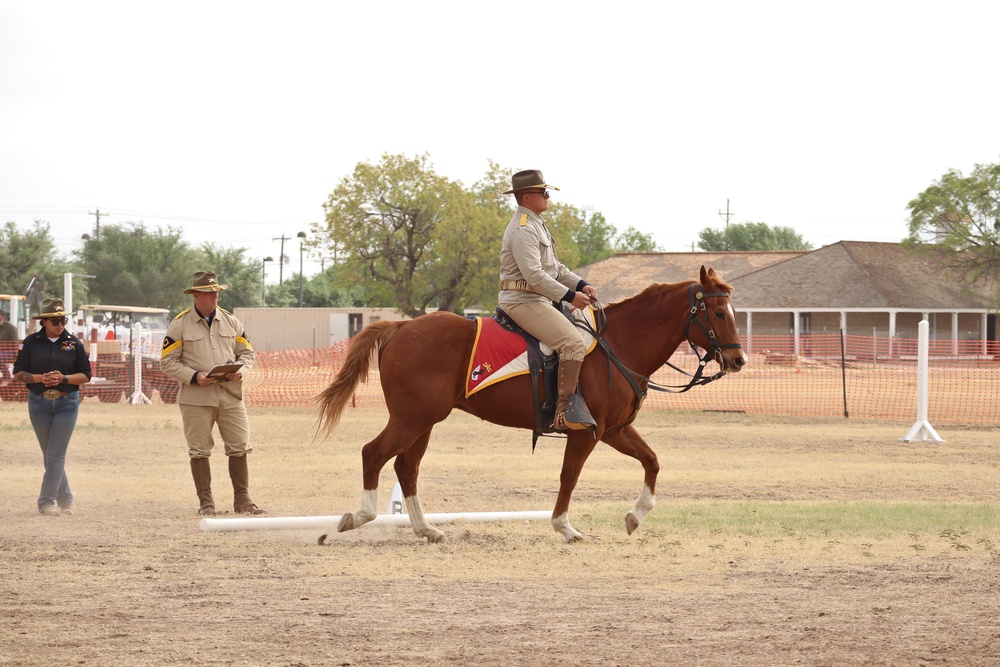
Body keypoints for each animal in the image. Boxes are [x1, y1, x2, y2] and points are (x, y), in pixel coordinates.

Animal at [316, 266, 748, 544]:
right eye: (719, 312)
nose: (738, 359)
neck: (618, 345)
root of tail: (403, 326)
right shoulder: (586, 434)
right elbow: (569, 477)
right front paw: (566, 528)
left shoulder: (614, 430)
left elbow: (652, 461)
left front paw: (634, 516)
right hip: (411, 419)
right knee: (373, 453)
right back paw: (359, 516)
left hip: (423, 422)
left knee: (407, 468)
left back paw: (426, 530)